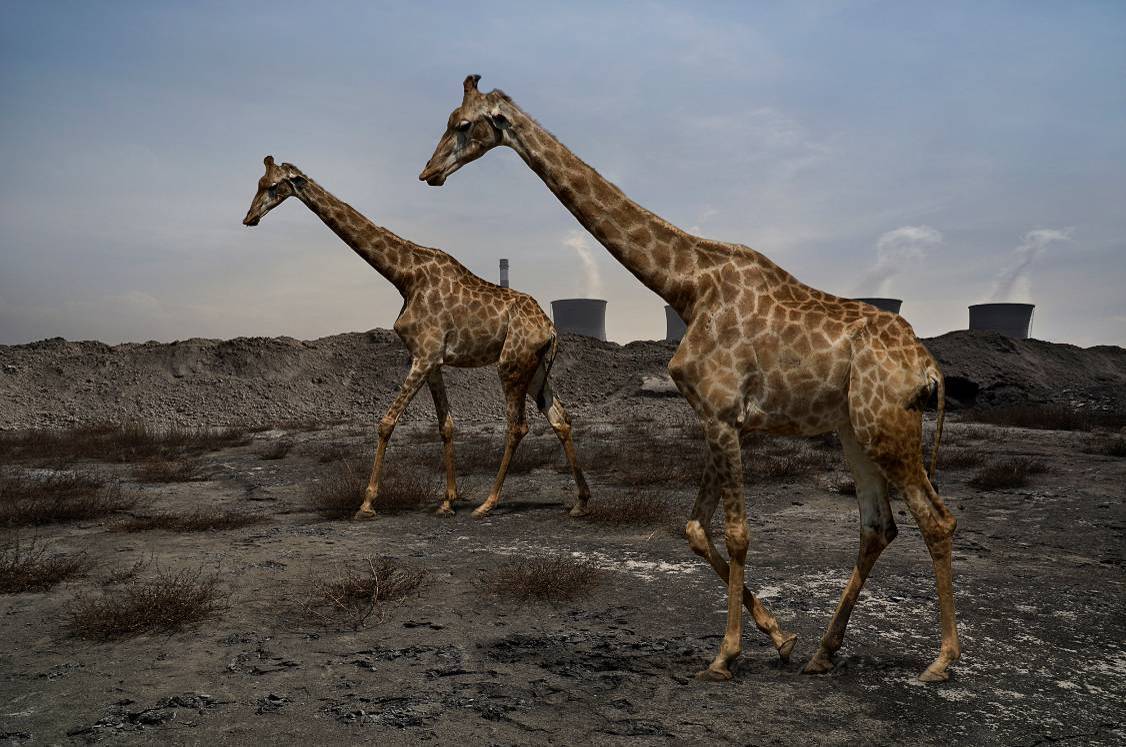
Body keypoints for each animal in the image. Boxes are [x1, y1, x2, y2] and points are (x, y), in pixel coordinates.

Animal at [243, 154, 594, 520]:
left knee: (517, 425)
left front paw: (366, 504)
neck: (404, 276)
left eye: (272, 186)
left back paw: (488, 503)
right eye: (258, 183)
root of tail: (550, 328)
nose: (249, 218)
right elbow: (446, 424)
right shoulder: (432, 360)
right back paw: (581, 502)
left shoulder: (423, 355)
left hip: (511, 363)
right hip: (536, 367)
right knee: (561, 419)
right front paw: (447, 501)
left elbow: (386, 422)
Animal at [418, 76, 954, 685]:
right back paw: (822, 651)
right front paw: (781, 638)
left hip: (889, 426)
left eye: (463, 125)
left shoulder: (722, 413)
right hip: (855, 430)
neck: (687, 286)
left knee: (936, 519)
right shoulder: (715, 417)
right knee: (878, 526)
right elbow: (696, 529)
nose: (429, 172)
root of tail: (929, 367)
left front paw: (726, 656)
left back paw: (941, 661)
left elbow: (737, 534)